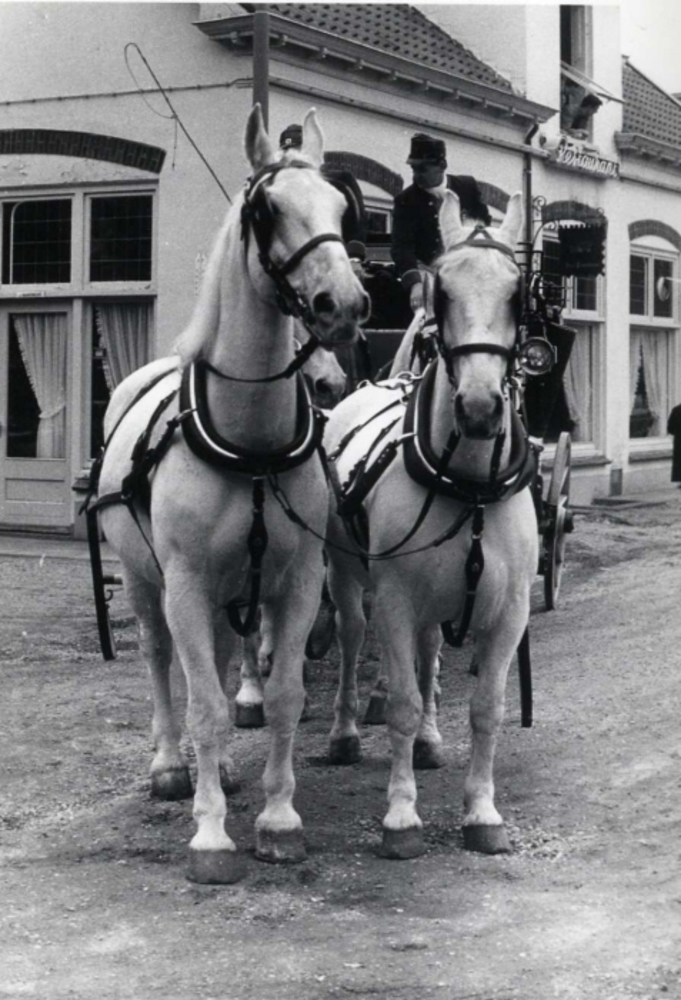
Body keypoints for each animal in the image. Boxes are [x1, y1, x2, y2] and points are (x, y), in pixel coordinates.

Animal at [95, 105, 369, 884]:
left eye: (341, 206)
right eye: (265, 208)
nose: (344, 304)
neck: (250, 443)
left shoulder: (296, 578)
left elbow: (279, 697)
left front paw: (277, 819)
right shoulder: (185, 581)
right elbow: (206, 707)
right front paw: (211, 835)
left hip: (224, 590)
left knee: (214, 664)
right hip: (146, 581)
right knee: (162, 663)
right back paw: (170, 767)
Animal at [323, 189, 538, 859]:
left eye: (518, 295)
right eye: (442, 293)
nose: (479, 408)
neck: (466, 487)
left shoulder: (510, 609)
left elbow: (487, 708)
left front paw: (482, 812)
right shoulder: (394, 598)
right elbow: (399, 702)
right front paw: (400, 817)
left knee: (429, 653)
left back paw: (429, 740)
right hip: (346, 573)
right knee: (349, 636)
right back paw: (343, 732)